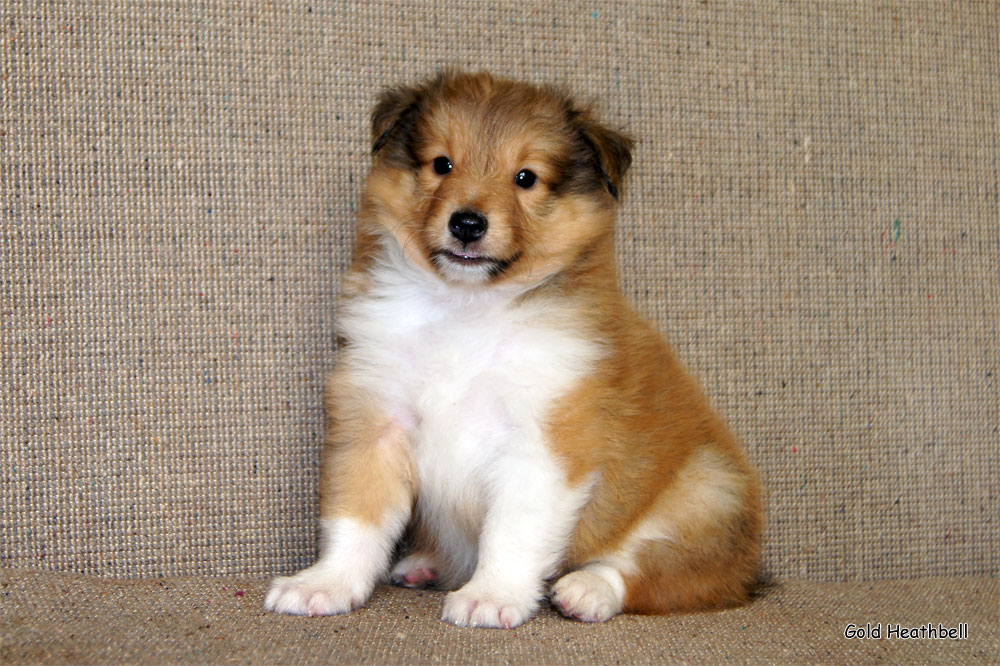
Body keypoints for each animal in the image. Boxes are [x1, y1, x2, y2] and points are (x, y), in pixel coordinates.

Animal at [262, 70, 760, 624]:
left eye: (526, 177)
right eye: (442, 163)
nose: (467, 223)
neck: (466, 308)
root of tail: (752, 572)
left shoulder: (544, 440)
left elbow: (513, 531)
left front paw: (492, 596)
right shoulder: (375, 419)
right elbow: (356, 517)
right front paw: (324, 585)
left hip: (707, 491)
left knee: (656, 569)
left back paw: (585, 590)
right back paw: (425, 565)